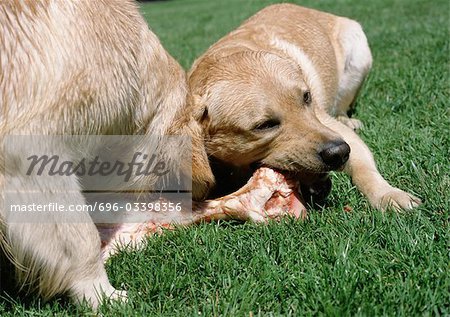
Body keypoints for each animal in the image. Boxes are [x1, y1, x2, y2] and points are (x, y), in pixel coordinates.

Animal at [188, 4, 420, 210]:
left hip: (358, 54)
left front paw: (389, 194)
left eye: (307, 97)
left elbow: (364, 168)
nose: (339, 152)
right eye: (265, 125)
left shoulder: (332, 127)